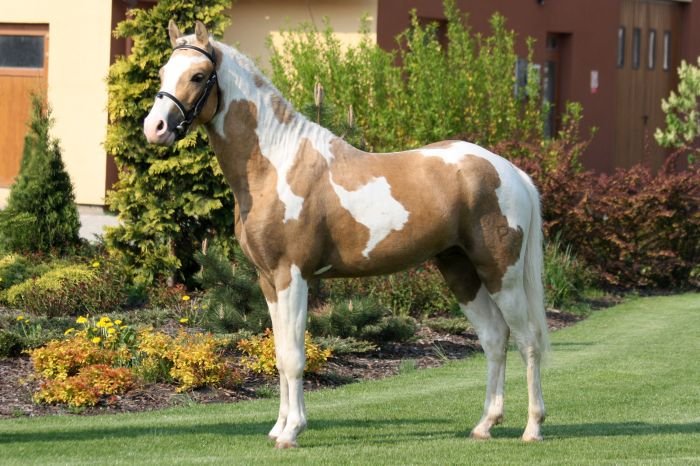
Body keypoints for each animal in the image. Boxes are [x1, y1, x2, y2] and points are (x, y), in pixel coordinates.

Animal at [143, 20, 549, 448]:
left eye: (198, 75)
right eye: (163, 73)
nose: (154, 128)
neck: (276, 164)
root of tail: (509, 170)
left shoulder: (293, 276)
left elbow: (295, 356)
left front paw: (292, 431)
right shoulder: (268, 280)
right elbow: (279, 353)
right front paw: (278, 428)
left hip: (501, 273)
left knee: (528, 340)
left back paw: (533, 428)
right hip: (459, 270)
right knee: (494, 337)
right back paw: (485, 424)